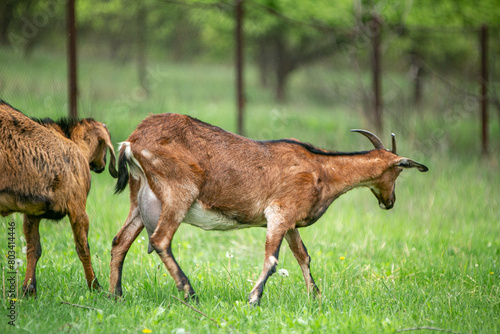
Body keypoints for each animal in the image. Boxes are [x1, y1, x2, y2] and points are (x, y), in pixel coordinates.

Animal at [0, 100, 117, 296]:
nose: (101, 166)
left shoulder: (32, 213)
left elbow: (34, 249)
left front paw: (29, 289)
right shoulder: (78, 208)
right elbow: (83, 248)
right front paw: (95, 287)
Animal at [111, 113, 428, 306]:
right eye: (397, 172)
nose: (389, 202)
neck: (322, 169)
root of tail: (132, 142)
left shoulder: (290, 223)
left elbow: (303, 256)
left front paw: (315, 297)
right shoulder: (279, 213)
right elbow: (273, 260)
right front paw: (254, 299)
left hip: (140, 199)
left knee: (120, 241)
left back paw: (114, 294)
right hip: (179, 192)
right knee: (160, 239)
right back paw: (190, 293)